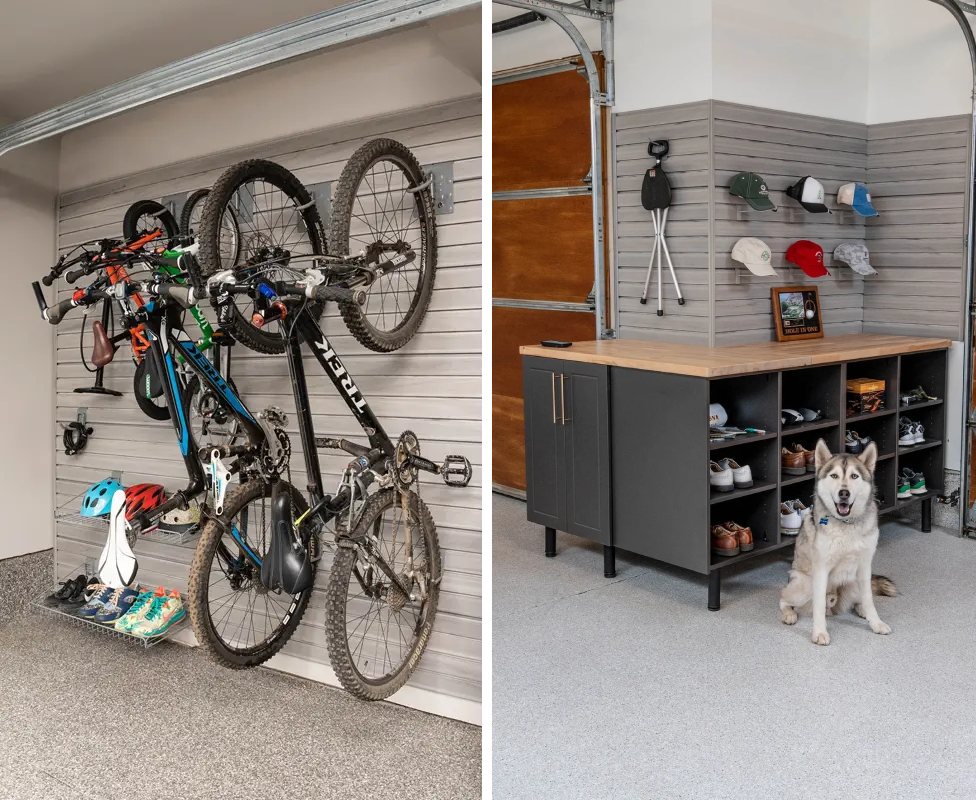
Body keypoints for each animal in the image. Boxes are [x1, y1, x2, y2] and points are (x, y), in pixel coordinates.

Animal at [780, 438, 896, 644]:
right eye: (834, 475)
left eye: (854, 476)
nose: (844, 493)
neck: (846, 524)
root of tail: (833, 603)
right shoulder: (821, 570)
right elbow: (818, 607)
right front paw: (819, 632)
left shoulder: (864, 566)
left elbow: (869, 600)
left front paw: (875, 622)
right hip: (804, 584)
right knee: (783, 598)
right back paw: (789, 614)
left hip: (853, 582)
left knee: (860, 599)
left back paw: (860, 609)